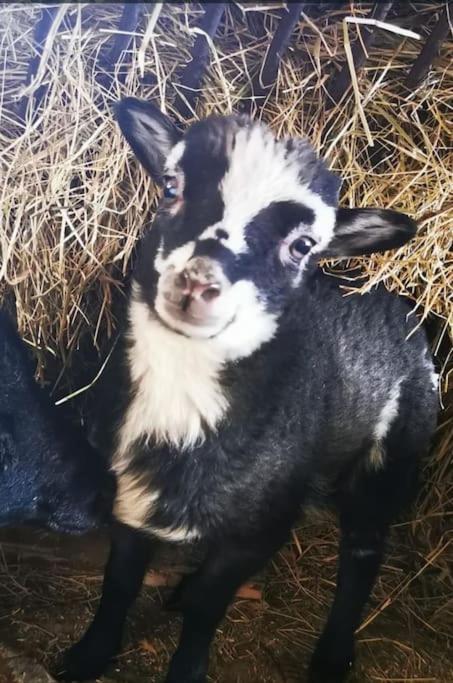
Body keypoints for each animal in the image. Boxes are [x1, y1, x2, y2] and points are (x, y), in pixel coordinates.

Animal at [60, 97, 438, 683]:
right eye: (171, 186)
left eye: (303, 245)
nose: (196, 283)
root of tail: (398, 298)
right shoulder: (131, 494)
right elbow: (119, 582)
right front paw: (88, 656)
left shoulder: (259, 524)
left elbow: (207, 609)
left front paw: (186, 668)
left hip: (393, 446)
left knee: (363, 549)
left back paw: (332, 656)